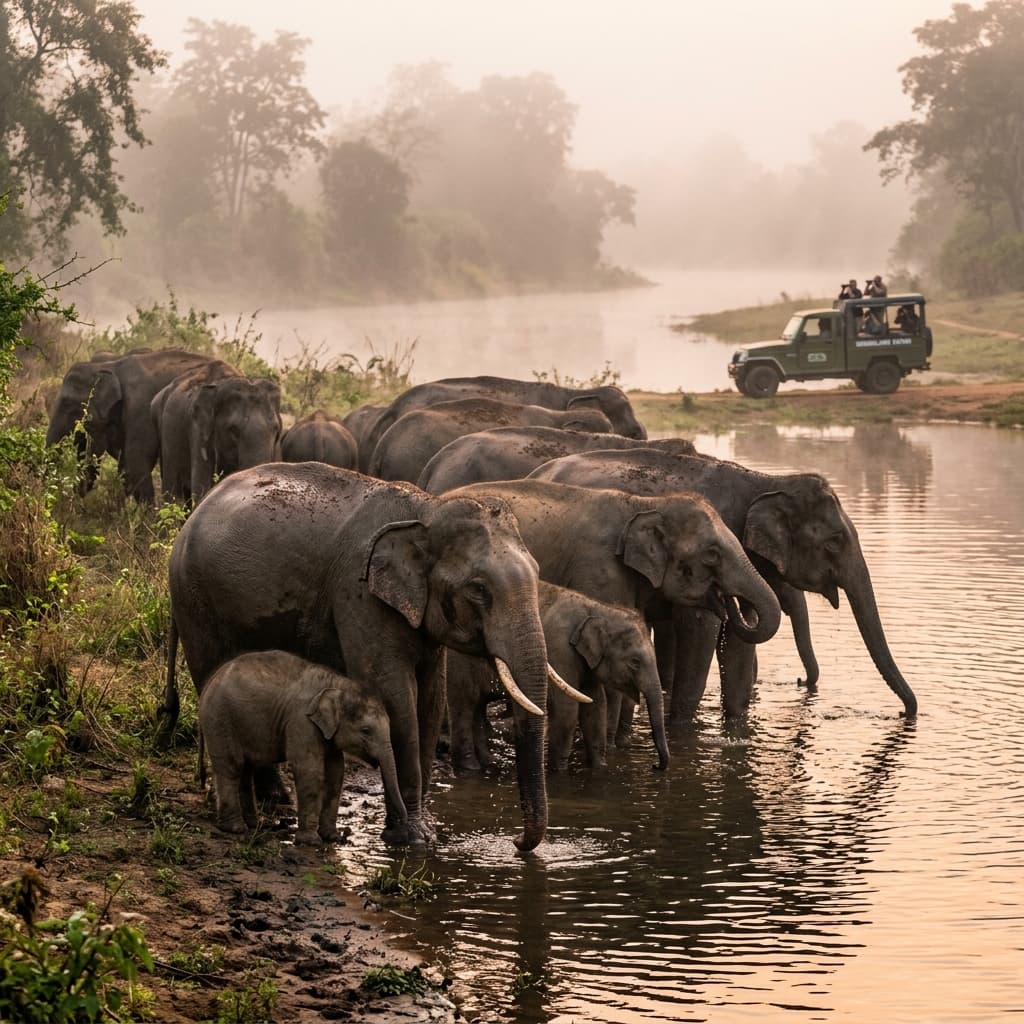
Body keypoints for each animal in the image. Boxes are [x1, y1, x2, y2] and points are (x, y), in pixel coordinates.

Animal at [46, 348, 213, 501]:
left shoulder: (141, 407)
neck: (110, 366)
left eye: (68, 405)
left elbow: (135, 460)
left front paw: (146, 513)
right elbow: (125, 464)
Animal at [198, 650, 405, 845]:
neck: (336, 685)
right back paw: (235, 828)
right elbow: (310, 771)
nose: (394, 831)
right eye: (366, 731)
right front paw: (311, 841)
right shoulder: (301, 722)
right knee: (232, 767)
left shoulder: (327, 733)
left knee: (245, 770)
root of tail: (209, 682)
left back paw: (253, 824)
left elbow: (336, 772)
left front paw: (332, 837)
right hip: (220, 719)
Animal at [447, 581, 669, 774]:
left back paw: (488, 762)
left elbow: (596, 706)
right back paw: (470, 768)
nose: (655, 766)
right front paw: (559, 771)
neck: (595, 608)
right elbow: (566, 710)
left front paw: (600, 767)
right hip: (458, 666)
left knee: (477, 709)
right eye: (635, 662)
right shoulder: (559, 651)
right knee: (463, 709)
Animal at [527, 448, 918, 719]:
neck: (768, 483)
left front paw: (735, 726)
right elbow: (702, 628)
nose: (904, 712)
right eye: (835, 542)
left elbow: (742, 641)